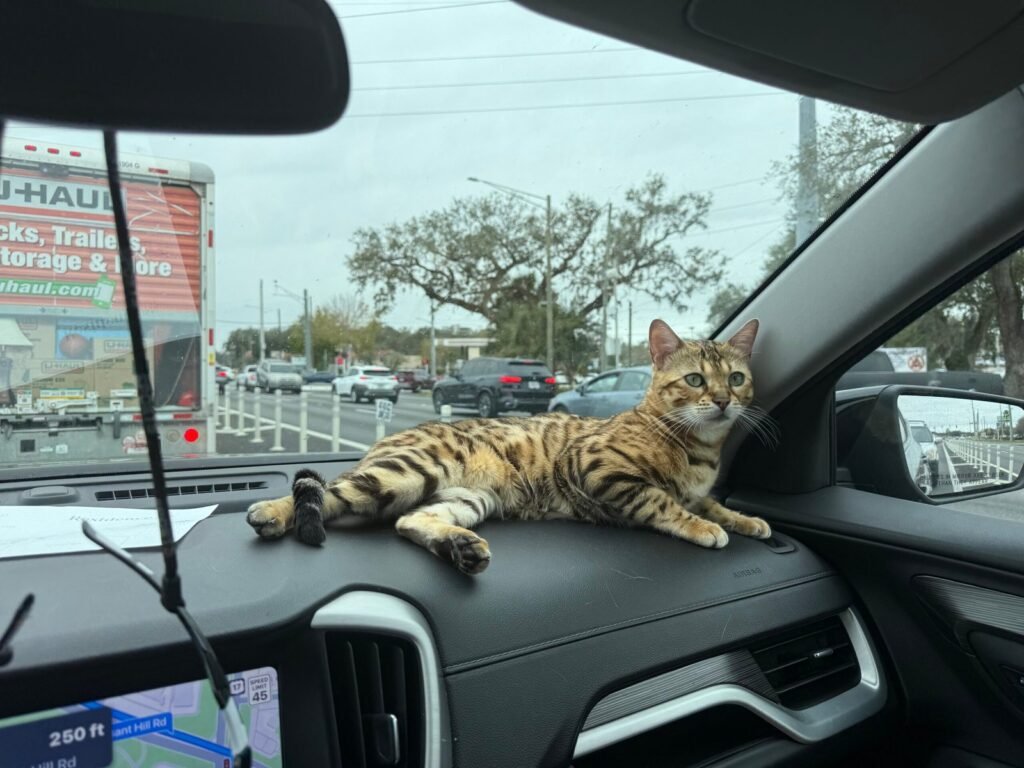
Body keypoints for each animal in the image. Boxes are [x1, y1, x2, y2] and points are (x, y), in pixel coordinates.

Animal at [246, 318, 772, 574]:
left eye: (737, 378)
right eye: (695, 380)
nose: (723, 401)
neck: (697, 448)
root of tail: (387, 441)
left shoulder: (696, 488)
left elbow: (712, 502)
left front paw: (744, 518)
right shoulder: (598, 467)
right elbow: (664, 502)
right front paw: (702, 527)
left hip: (468, 498)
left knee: (408, 521)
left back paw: (459, 548)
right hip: (408, 470)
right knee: (329, 492)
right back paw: (270, 511)